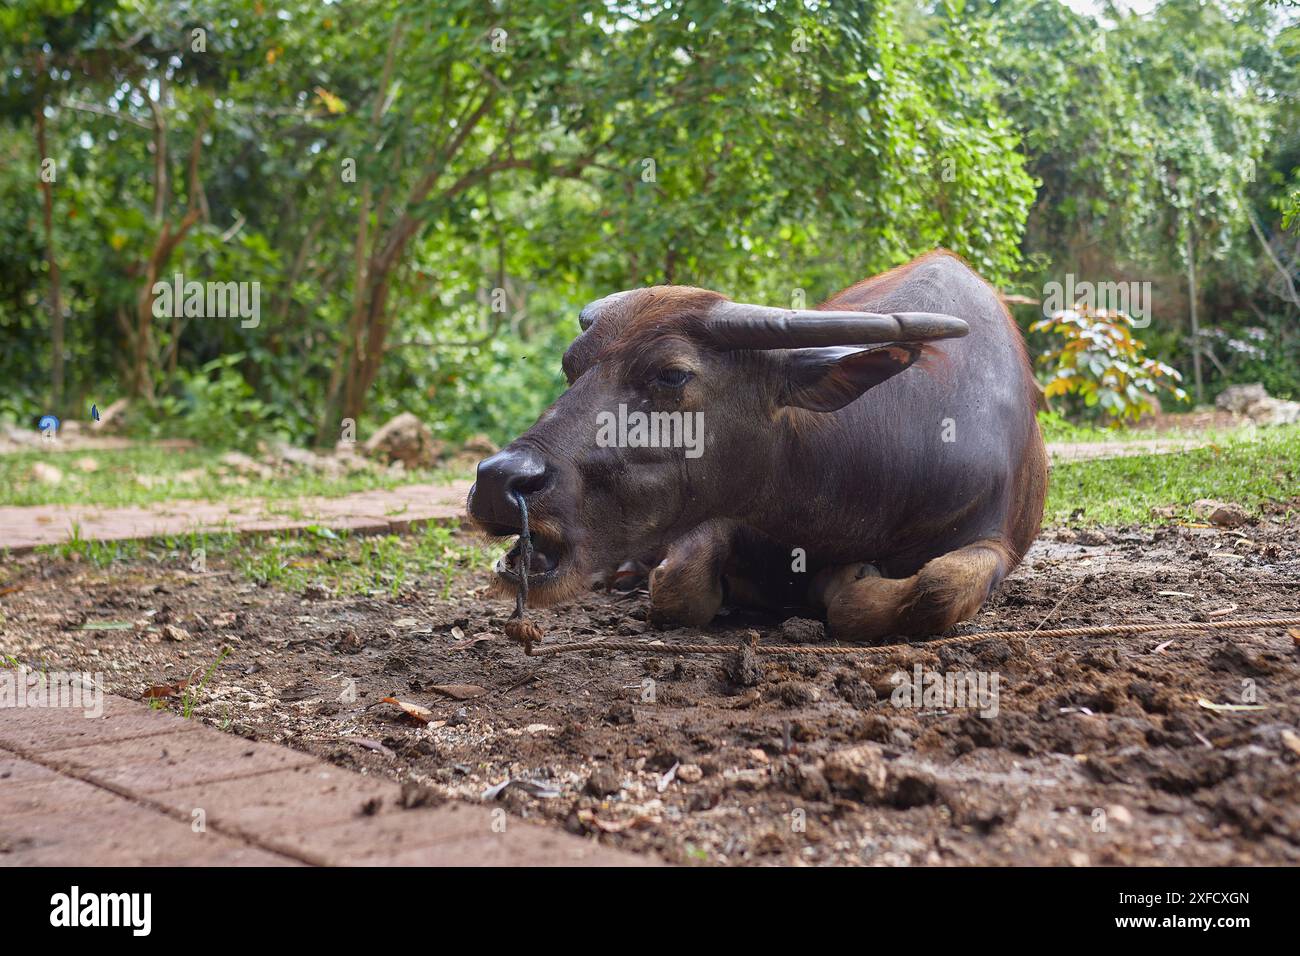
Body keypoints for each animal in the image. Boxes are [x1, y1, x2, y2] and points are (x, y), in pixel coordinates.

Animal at [467, 250, 1048, 641]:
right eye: (571, 366)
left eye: (671, 374)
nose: (499, 479)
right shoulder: (719, 515)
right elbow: (678, 586)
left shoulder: (994, 540)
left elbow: (935, 590)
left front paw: (845, 583)